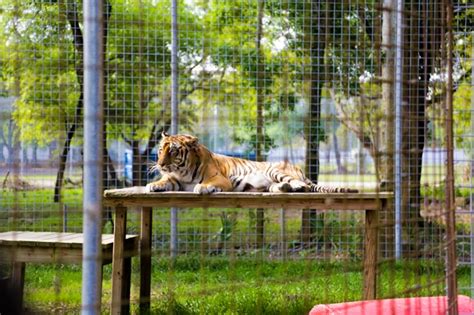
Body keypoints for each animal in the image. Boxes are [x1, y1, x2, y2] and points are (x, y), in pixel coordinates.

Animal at [146, 132, 358, 194]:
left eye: (173, 151)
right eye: (161, 149)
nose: (161, 164)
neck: (182, 170)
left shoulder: (220, 179)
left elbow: (206, 183)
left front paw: (202, 188)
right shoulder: (175, 179)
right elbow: (165, 181)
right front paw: (153, 185)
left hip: (275, 170)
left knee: (303, 185)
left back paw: (297, 186)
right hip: (272, 183)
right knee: (283, 186)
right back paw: (285, 188)